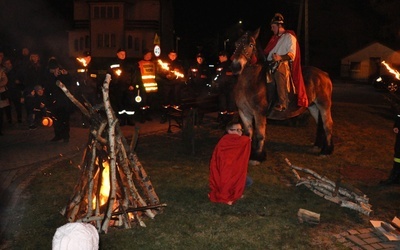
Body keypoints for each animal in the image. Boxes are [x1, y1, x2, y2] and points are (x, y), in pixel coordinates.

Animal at [230, 28, 332, 163]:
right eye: (236, 44)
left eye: (251, 45)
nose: (236, 66)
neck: (251, 81)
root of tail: (324, 74)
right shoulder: (244, 112)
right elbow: (248, 134)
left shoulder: (259, 113)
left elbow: (260, 134)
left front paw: (258, 157)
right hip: (313, 107)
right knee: (319, 125)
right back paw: (318, 146)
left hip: (324, 105)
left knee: (327, 125)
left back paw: (327, 151)